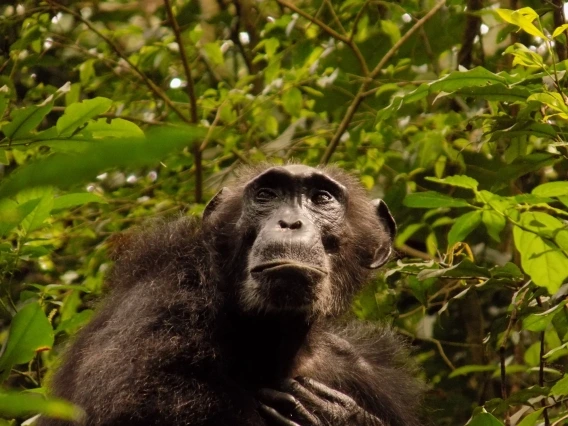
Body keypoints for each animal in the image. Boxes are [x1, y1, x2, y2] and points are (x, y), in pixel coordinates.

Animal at [40, 165, 422, 424]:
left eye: (321, 198)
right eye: (266, 195)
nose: (290, 222)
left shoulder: (369, 372)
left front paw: (345, 417)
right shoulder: (160, 300)